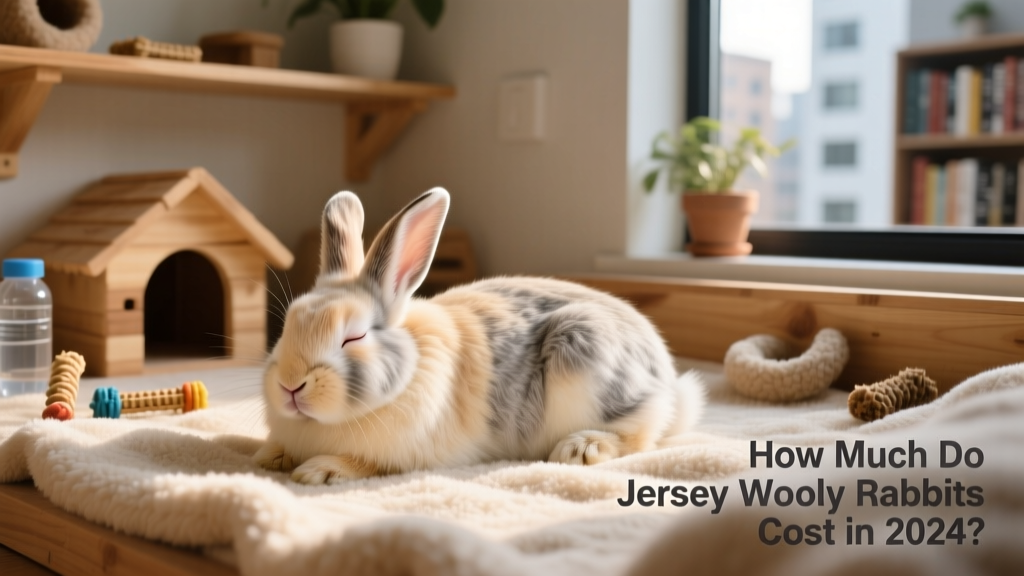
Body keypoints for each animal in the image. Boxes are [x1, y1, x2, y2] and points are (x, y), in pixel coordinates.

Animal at [254, 187, 705, 484]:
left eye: (354, 337)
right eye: (287, 327)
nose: (290, 385)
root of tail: (666, 378)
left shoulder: (406, 455)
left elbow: (368, 464)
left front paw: (318, 470)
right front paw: (268, 458)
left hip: (586, 359)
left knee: (641, 433)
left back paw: (581, 449)